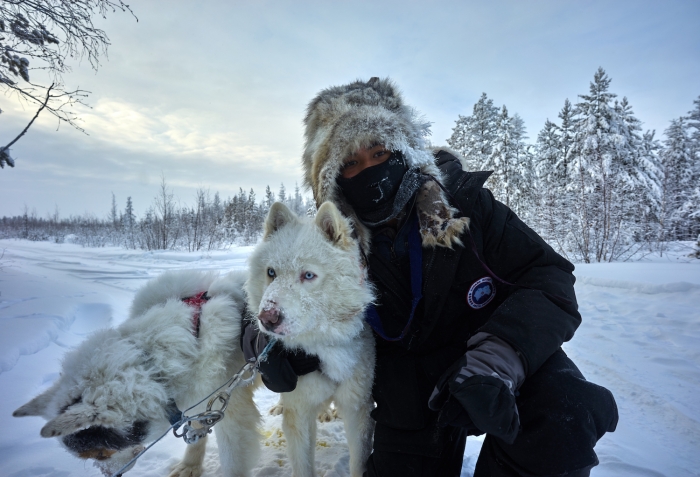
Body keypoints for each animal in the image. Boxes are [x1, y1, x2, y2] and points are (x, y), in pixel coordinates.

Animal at [13, 270, 260, 476]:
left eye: (101, 453)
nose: (110, 475)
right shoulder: (203, 402)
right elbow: (197, 432)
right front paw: (189, 466)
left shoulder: (233, 418)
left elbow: (232, 462)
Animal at [246, 201, 378, 476]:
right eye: (271, 272)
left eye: (308, 275)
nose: (267, 318)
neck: (320, 348)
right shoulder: (299, 413)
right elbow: (303, 464)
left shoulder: (357, 407)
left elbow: (359, 461)